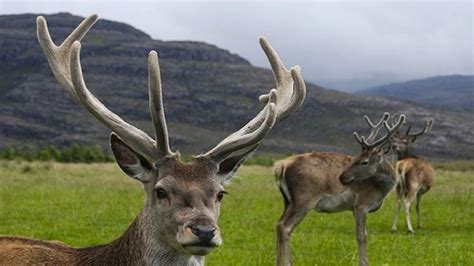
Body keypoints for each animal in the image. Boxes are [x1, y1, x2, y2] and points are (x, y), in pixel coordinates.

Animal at [274, 112, 404, 266]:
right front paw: (364, 262)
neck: (381, 189)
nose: (342, 177)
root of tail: (281, 166)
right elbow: (361, 235)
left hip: (288, 200)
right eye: (356, 158)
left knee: (278, 224)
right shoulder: (362, 203)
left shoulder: (354, 208)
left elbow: (364, 233)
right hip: (304, 199)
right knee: (285, 227)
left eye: (364, 161)